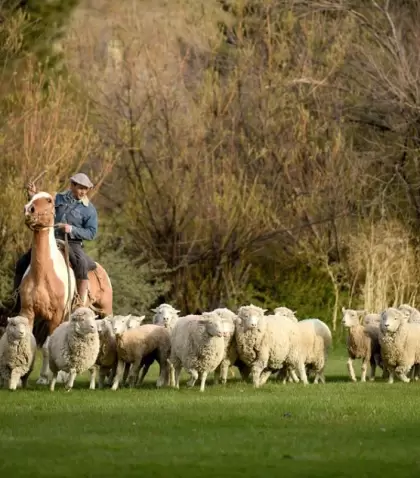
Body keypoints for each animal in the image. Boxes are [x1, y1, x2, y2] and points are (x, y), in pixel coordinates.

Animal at [19, 190, 113, 384]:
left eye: (48, 200)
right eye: (31, 197)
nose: (28, 210)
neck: (43, 274)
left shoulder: (56, 315)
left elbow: (47, 345)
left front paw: (43, 378)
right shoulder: (27, 311)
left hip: (106, 310)